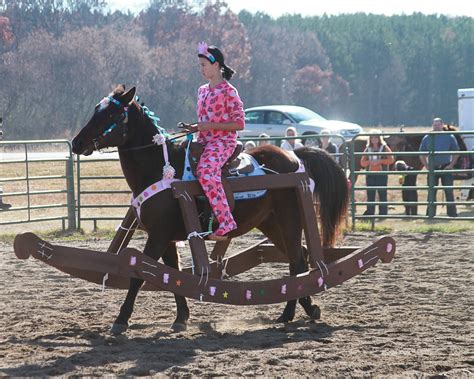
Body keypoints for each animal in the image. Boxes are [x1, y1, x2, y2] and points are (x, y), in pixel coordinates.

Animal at [72, 86, 350, 336]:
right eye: (96, 110)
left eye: (111, 114)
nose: (76, 142)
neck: (160, 168)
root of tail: (295, 157)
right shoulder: (166, 237)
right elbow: (171, 274)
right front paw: (181, 318)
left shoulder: (159, 235)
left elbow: (139, 275)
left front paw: (121, 320)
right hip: (271, 224)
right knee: (298, 259)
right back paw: (297, 311)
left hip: (289, 221)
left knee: (298, 261)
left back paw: (298, 310)